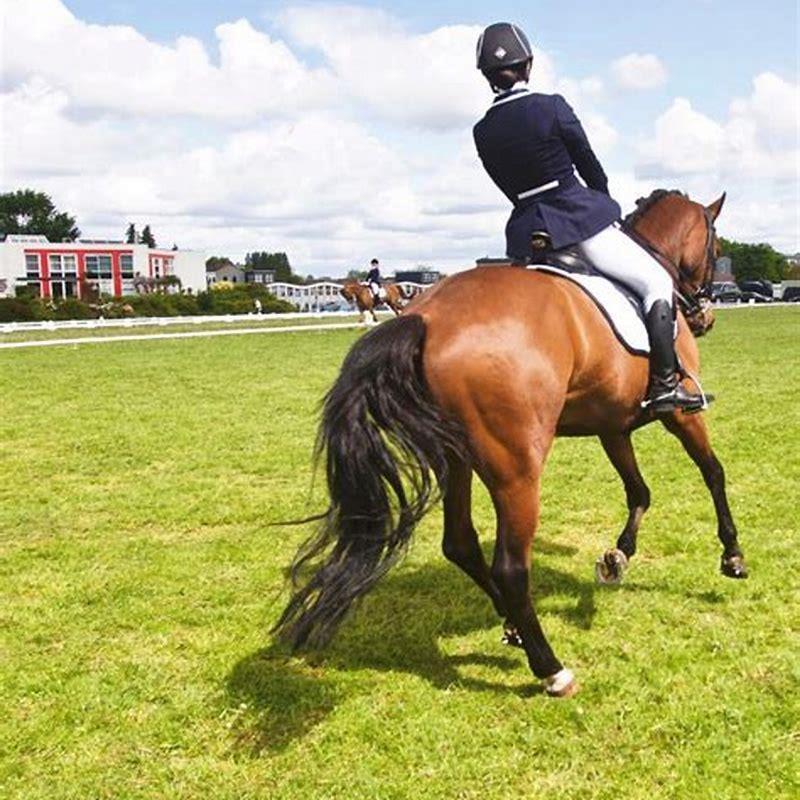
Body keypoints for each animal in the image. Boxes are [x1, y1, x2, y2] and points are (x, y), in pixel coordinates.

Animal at [274, 190, 747, 699]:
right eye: (717, 249)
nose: (705, 317)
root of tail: (426, 317)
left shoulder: (612, 426)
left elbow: (639, 491)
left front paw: (617, 557)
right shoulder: (682, 414)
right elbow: (713, 472)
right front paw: (732, 556)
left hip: (456, 458)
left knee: (460, 544)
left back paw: (515, 627)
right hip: (517, 470)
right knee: (510, 566)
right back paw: (551, 669)